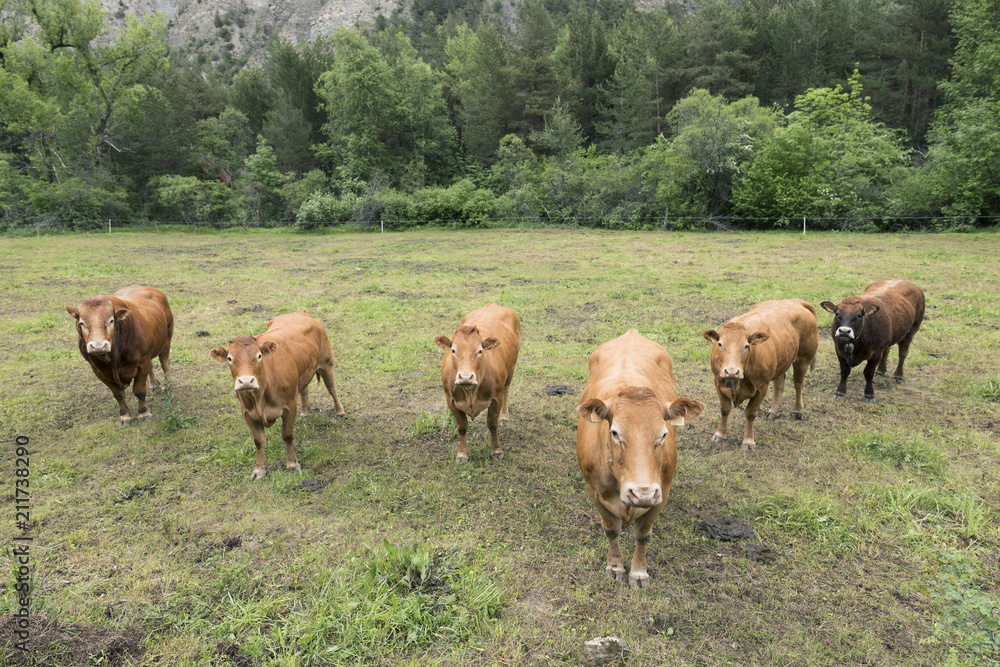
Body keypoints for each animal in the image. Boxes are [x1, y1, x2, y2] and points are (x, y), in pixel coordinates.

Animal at [65, 286, 174, 422]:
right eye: (81, 323)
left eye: (111, 320)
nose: (98, 346)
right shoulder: (98, 371)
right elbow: (118, 394)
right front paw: (124, 415)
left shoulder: (142, 362)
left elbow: (139, 390)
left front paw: (144, 412)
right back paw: (154, 384)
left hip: (167, 338)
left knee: (164, 362)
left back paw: (168, 385)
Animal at [210, 310, 344, 482]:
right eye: (229, 358)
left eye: (259, 356)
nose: (246, 381)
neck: (260, 397)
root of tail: (301, 312)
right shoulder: (247, 413)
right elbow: (258, 441)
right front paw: (259, 469)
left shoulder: (289, 406)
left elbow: (287, 436)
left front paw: (292, 464)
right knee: (304, 390)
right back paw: (305, 412)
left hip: (327, 363)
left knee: (332, 388)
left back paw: (340, 411)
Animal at [576, 332, 708, 588]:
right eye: (615, 432)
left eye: (664, 434)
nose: (642, 493)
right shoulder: (594, 492)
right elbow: (611, 530)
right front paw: (615, 567)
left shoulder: (661, 493)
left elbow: (643, 534)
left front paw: (638, 573)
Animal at [704, 298, 820, 452]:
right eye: (720, 344)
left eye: (746, 346)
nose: (732, 371)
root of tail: (795, 301)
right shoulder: (718, 382)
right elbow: (724, 409)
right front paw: (720, 434)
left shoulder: (762, 387)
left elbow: (750, 413)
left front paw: (748, 442)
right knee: (779, 383)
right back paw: (774, 410)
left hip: (803, 359)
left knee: (798, 384)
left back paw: (798, 410)